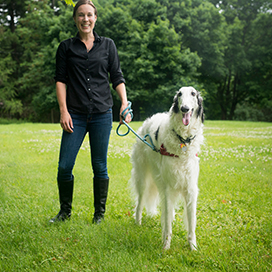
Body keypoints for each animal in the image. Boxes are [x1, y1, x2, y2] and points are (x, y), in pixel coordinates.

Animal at [130, 86, 204, 250]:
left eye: (193, 93)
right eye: (180, 94)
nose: (184, 108)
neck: (183, 141)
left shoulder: (190, 187)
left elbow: (191, 223)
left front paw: (193, 247)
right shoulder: (169, 186)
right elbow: (167, 224)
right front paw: (166, 246)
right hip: (143, 177)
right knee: (140, 202)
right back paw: (137, 222)